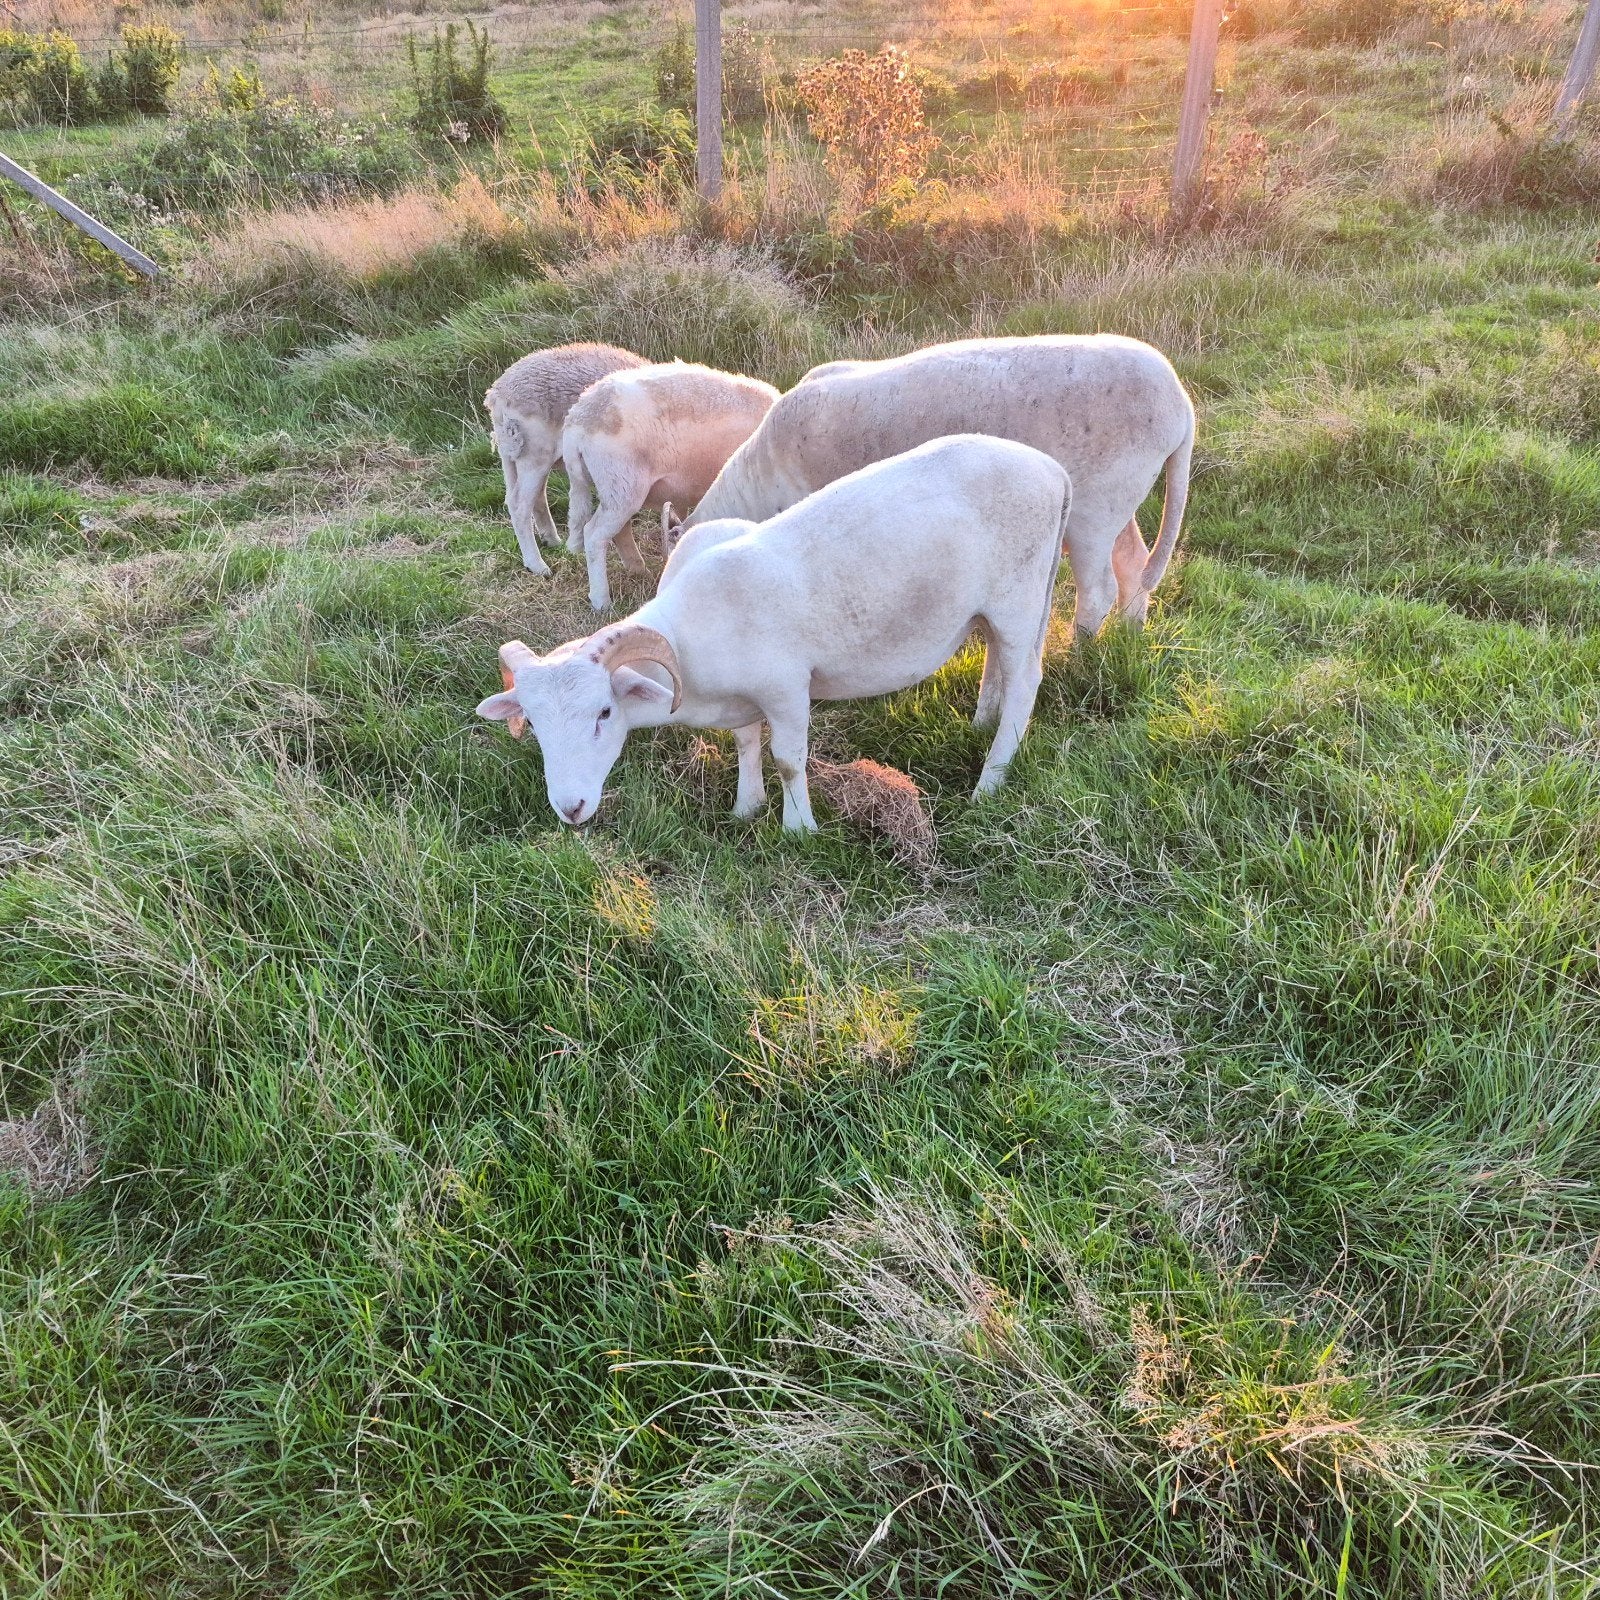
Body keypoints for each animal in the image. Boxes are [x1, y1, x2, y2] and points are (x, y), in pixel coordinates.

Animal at [476, 435, 1071, 832]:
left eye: (604, 712)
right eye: (532, 722)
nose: (570, 809)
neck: (691, 635)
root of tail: (1052, 471)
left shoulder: (787, 687)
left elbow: (788, 759)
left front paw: (798, 828)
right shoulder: (744, 696)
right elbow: (745, 742)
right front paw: (747, 806)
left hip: (1019, 600)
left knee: (1025, 682)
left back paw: (990, 780)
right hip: (997, 608)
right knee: (995, 659)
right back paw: (981, 723)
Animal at [484, 343, 647, 576]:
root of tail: (497, 392)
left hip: (516, 453)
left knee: (536, 497)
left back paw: (551, 540)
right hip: (533, 451)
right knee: (518, 505)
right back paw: (537, 565)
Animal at [561, 361, 780, 612]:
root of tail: (577, 419)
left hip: (617, 489)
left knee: (620, 530)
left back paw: (639, 570)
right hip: (621, 482)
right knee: (594, 534)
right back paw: (602, 601)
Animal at [674, 334, 1195, 637]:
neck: (760, 480)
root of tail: (1181, 405)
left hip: (1097, 503)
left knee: (1100, 586)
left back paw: (1081, 649)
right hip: (1123, 493)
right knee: (1133, 561)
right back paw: (1129, 633)